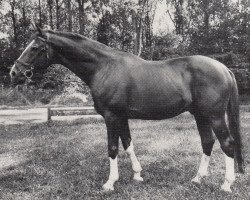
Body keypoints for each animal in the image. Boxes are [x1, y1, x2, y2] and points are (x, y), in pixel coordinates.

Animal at [9, 25, 244, 192]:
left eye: (35, 48)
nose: (14, 73)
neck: (103, 67)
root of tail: (223, 68)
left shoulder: (111, 116)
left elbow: (112, 148)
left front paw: (109, 183)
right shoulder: (121, 117)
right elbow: (128, 144)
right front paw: (137, 175)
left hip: (215, 116)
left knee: (227, 143)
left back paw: (226, 184)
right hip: (200, 115)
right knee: (207, 142)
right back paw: (197, 178)